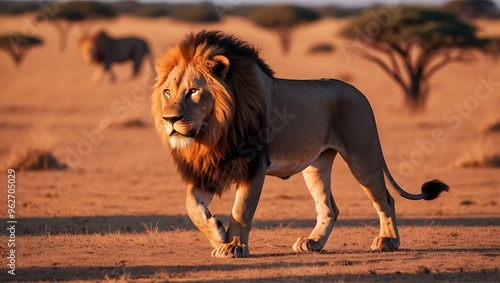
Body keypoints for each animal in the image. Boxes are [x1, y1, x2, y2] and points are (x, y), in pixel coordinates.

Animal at [151, 31, 450, 260]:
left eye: (193, 91)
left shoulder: (254, 165)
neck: (213, 131)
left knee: (385, 199)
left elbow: (241, 209)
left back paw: (388, 241)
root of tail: (359, 93)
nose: (170, 119)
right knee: (329, 208)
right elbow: (191, 206)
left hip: (362, 155)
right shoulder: (209, 167)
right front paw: (218, 234)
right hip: (317, 165)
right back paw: (313, 243)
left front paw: (233, 246)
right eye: (167, 92)